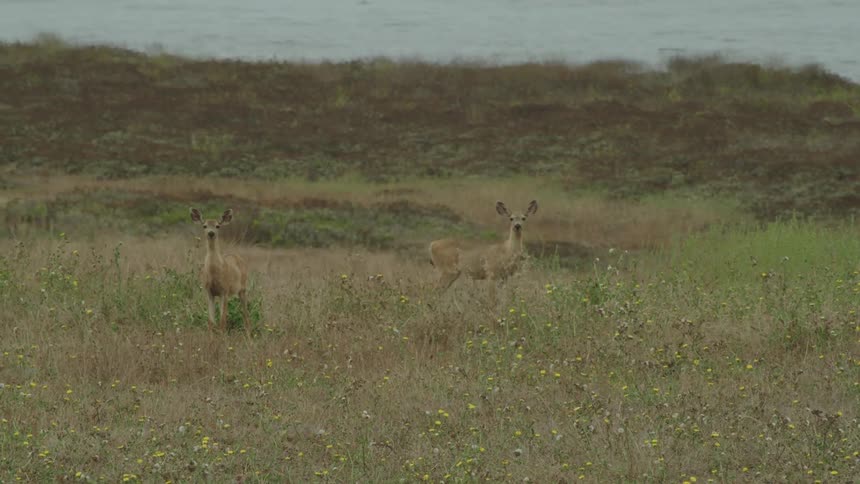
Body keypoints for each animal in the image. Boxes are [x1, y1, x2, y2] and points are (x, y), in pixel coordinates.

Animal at [190, 208, 251, 337]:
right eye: (204, 225)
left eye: (218, 226)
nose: (211, 233)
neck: (214, 272)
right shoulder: (209, 292)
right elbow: (211, 322)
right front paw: (211, 339)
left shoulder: (224, 291)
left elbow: (222, 321)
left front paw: (222, 338)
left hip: (242, 289)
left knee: (245, 314)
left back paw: (249, 336)